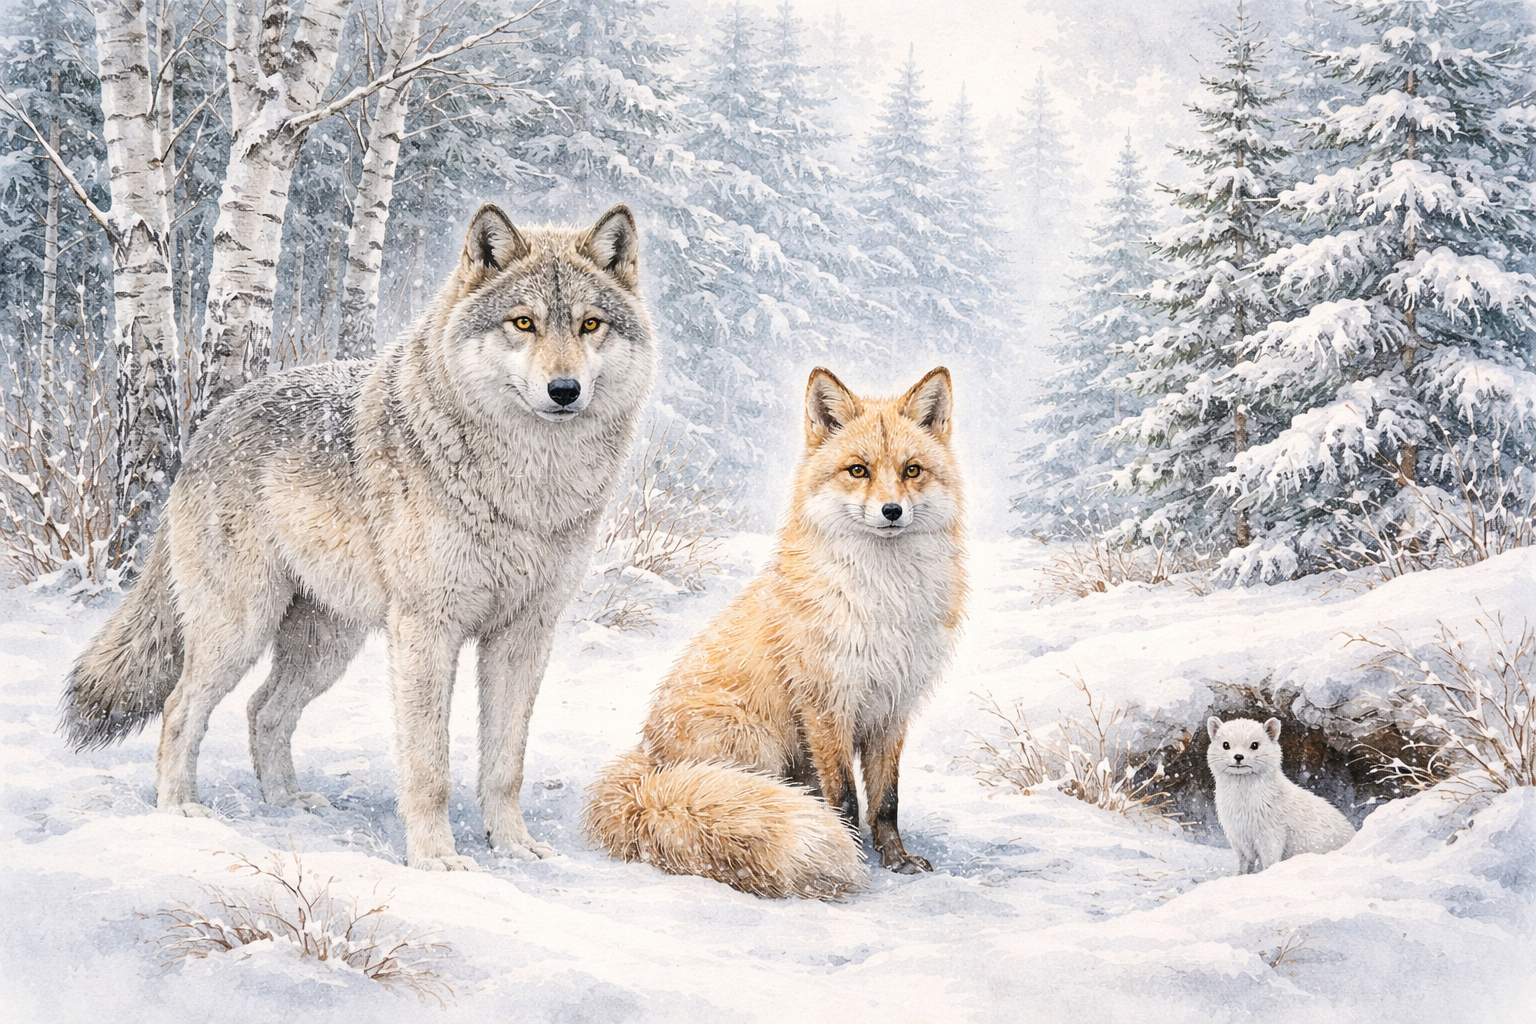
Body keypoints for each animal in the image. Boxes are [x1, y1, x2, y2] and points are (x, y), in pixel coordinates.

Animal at [60, 203, 657, 871]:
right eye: (523, 323)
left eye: (589, 325)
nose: (564, 390)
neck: (528, 487)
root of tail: (210, 422)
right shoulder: (427, 629)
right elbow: (429, 766)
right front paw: (435, 859)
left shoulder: (525, 633)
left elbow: (506, 765)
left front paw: (512, 844)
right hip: (241, 630)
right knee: (179, 707)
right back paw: (178, 812)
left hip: (326, 647)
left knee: (263, 709)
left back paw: (287, 803)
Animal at [585, 367, 967, 898]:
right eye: (858, 471)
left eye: (912, 471)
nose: (892, 511)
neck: (882, 601)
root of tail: (648, 763)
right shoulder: (826, 705)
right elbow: (846, 799)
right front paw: (854, 855)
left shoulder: (892, 708)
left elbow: (886, 802)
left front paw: (896, 860)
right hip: (757, 745)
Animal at [1206, 717, 1355, 873]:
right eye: (1226, 744)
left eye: (1254, 744)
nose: (1238, 756)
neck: (1242, 809)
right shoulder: (1237, 836)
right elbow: (1245, 861)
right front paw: (1239, 875)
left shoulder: (1272, 831)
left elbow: (1270, 859)